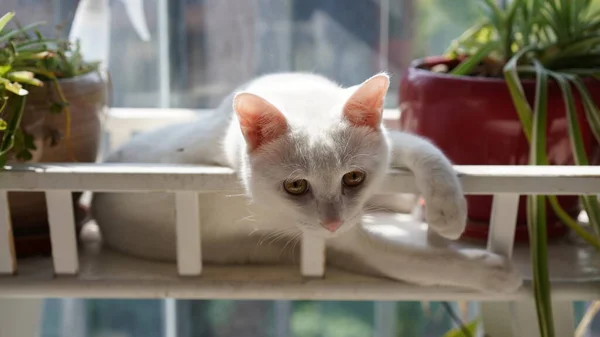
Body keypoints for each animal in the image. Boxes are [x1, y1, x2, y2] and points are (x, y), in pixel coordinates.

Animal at [91, 71, 524, 292]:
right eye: (295, 187)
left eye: (354, 177)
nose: (332, 222)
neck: (300, 96)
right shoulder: (341, 243)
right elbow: (418, 263)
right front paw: (494, 274)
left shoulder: (387, 141)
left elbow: (422, 147)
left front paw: (448, 212)